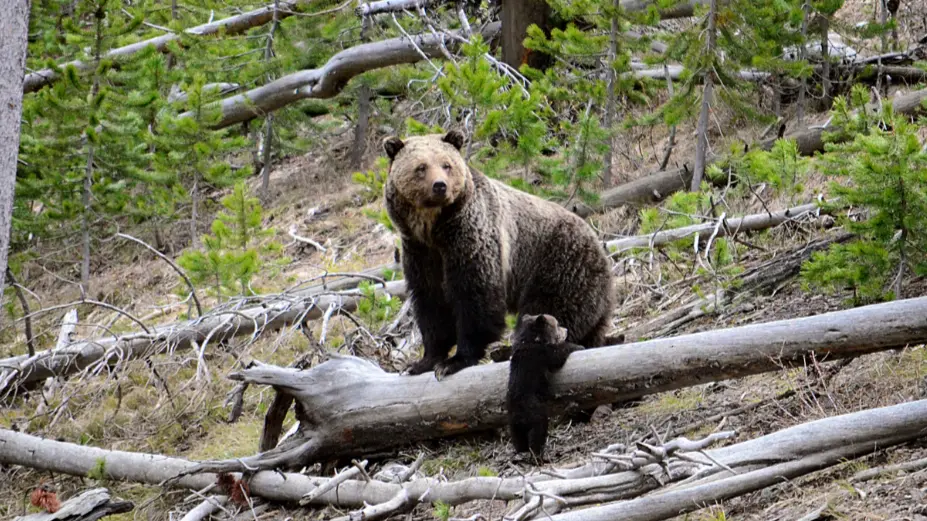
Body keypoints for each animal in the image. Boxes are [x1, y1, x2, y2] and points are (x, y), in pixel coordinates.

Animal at [382, 130, 614, 379]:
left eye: (446, 165)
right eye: (421, 167)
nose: (440, 186)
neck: (433, 228)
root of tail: (602, 249)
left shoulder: (471, 237)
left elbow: (475, 295)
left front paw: (455, 360)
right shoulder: (420, 251)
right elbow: (430, 302)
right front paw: (423, 362)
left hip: (560, 264)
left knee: (549, 311)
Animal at [507, 313, 583, 460]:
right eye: (557, 324)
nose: (566, 330)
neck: (532, 340)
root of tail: (518, 414)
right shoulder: (542, 354)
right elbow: (558, 356)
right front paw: (578, 346)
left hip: (513, 422)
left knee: (518, 437)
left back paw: (521, 450)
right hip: (533, 410)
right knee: (538, 430)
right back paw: (538, 455)